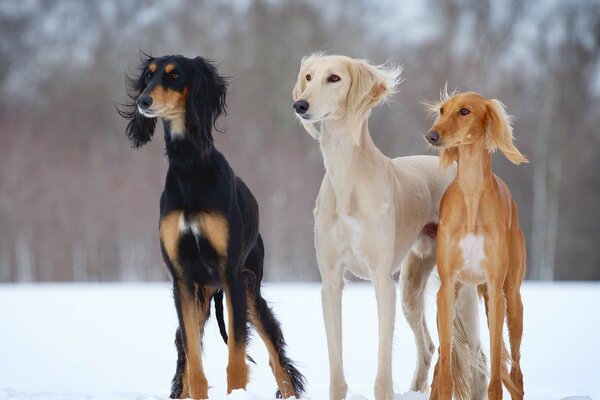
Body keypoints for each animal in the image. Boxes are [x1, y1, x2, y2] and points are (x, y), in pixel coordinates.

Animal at [118, 55, 304, 400]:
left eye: (175, 75)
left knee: (278, 362)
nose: (142, 101)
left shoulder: (231, 273)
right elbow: (193, 361)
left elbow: (237, 356)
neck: (189, 166)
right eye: (148, 77)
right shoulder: (182, 279)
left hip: (250, 289)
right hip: (203, 296)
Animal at [290, 54, 482, 400]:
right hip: (411, 285)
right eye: (308, 77)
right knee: (429, 346)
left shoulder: (381, 280)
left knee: (475, 355)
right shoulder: (331, 281)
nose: (300, 104)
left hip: (459, 288)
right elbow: (336, 363)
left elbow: (383, 366)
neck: (347, 176)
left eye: (334, 78)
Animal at [424, 91, 528, 400]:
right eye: (442, 110)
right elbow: (445, 372)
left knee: (516, 370)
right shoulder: (447, 289)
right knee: (440, 366)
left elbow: (495, 374)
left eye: (465, 111)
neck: (471, 196)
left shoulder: (495, 290)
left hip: (512, 302)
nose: (431, 136)